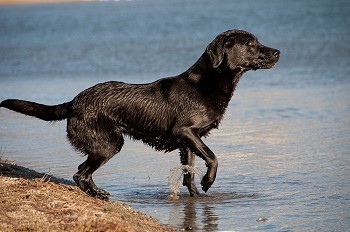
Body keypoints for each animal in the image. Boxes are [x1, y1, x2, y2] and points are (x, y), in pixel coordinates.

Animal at [0, 29, 278, 199]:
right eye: (251, 43)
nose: (278, 52)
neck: (206, 83)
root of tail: (74, 102)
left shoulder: (188, 141)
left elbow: (189, 173)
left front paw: (196, 197)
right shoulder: (185, 131)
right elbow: (212, 157)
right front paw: (208, 182)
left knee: (82, 171)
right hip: (110, 143)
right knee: (80, 173)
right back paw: (98, 195)